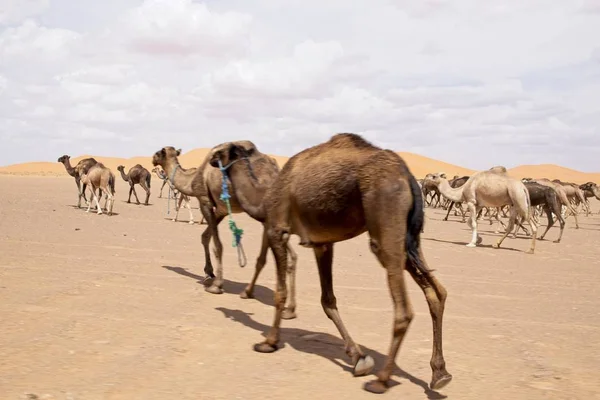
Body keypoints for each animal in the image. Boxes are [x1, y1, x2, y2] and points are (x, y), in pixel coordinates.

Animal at [152, 145, 298, 318]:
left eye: (158, 153)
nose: (152, 159)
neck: (193, 178)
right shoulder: (221, 210)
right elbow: (205, 236)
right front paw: (209, 272)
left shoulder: (205, 201)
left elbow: (217, 244)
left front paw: (216, 285)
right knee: (289, 254)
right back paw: (287, 307)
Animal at [251, 134, 452, 394]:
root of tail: (407, 176)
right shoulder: (321, 243)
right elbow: (327, 300)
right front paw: (359, 358)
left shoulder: (277, 229)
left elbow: (280, 293)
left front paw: (269, 342)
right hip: (410, 240)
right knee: (437, 292)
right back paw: (440, 373)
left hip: (385, 223)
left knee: (404, 310)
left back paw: (381, 380)